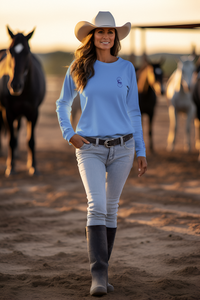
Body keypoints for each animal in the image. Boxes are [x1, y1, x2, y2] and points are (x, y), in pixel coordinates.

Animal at [0, 27, 45, 177]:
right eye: (10, 51)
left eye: (27, 51)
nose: (15, 85)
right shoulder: (8, 112)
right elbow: (11, 140)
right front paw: (10, 166)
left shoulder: (34, 113)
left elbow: (31, 141)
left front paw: (33, 167)